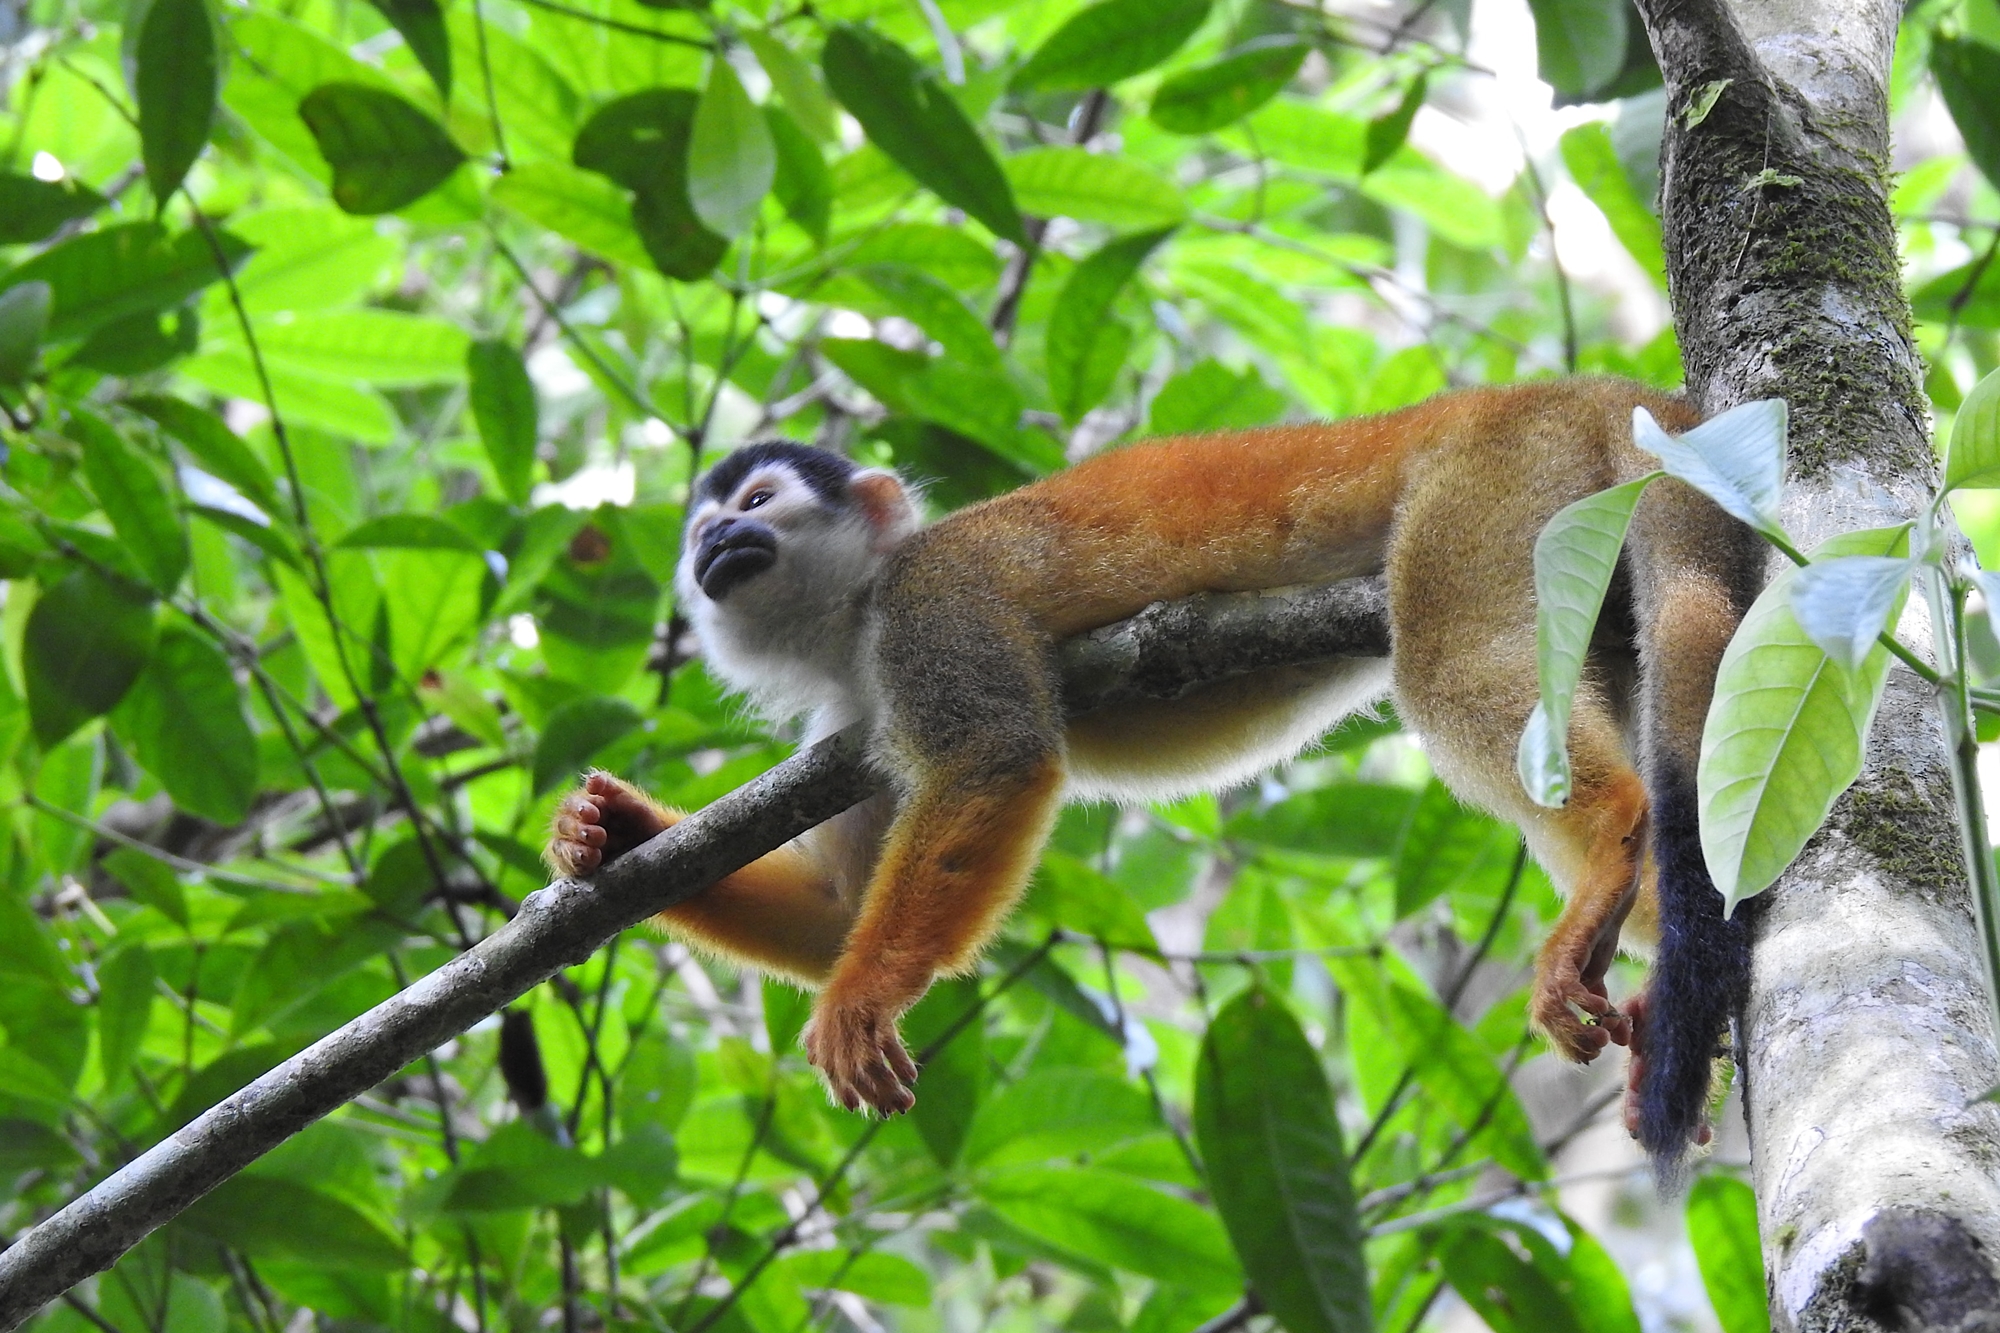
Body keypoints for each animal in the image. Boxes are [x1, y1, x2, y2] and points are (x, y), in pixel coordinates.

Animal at [540, 378, 1760, 1168]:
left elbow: (998, 758)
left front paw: (861, 996)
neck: (851, 620)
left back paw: (1608, 839)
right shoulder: (855, 718)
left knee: (1450, 662)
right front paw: (608, 832)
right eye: (702, 528)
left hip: (1493, 484)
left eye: (753, 508)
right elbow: (838, 905)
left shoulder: (933, 606)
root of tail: (1565, 386)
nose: (711, 551)